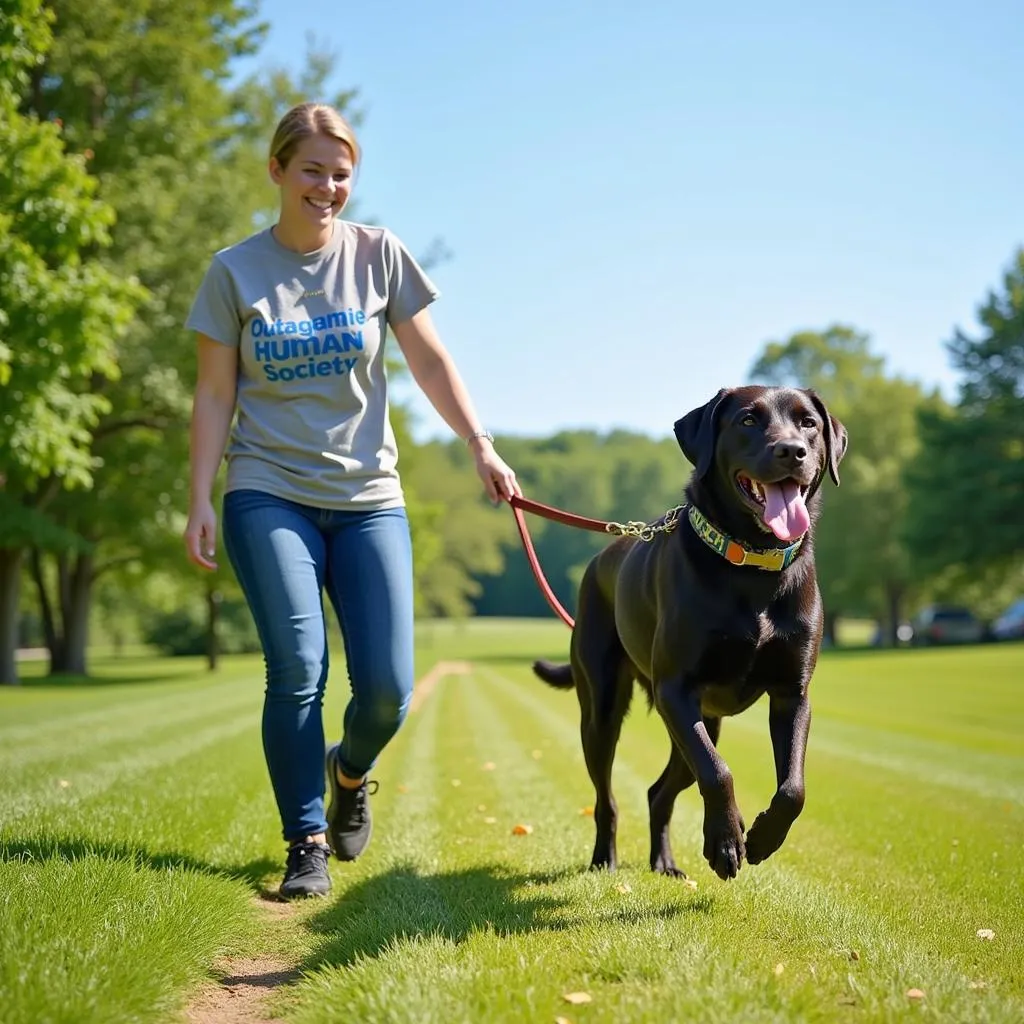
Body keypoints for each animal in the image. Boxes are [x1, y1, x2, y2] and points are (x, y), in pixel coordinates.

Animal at [532, 385, 843, 880]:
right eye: (748, 420)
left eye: (808, 423)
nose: (792, 451)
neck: (752, 564)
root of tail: (601, 557)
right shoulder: (676, 689)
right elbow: (718, 772)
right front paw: (727, 843)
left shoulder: (792, 693)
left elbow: (793, 788)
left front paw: (760, 837)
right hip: (603, 710)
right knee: (608, 798)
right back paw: (605, 859)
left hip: (703, 721)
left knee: (658, 791)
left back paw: (665, 862)